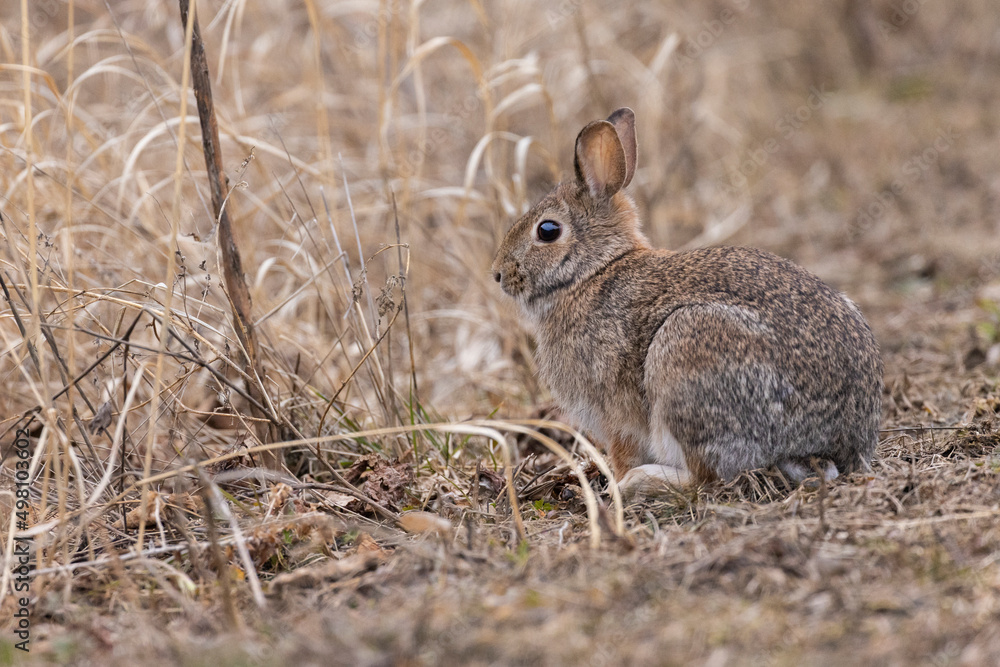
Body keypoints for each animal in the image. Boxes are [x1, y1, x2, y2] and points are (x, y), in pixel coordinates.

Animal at [491, 108, 883, 497]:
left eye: (547, 230)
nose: (497, 274)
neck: (594, 270)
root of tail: (835, 443)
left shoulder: (614, 413)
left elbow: (622, 453)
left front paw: (615, 487)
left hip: (685, 355)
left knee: (704, 477)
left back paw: (640, 481)